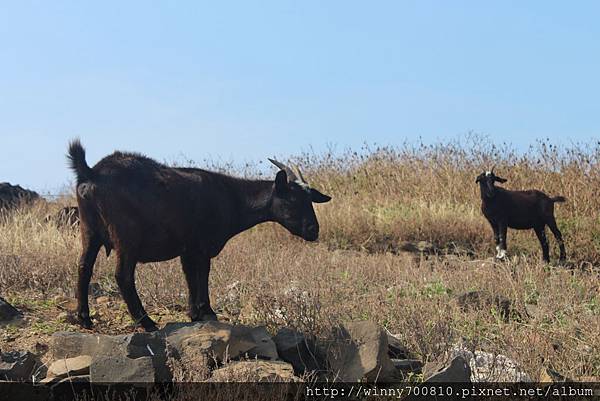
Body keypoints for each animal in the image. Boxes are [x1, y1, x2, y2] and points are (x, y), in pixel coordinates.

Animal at [67, 141, 330, 332]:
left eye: (310, 199)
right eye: (292, 199)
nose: (313, 230)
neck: (231, 198)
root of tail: (91, 173)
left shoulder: (188, 249)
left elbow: (190, 277)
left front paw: (194, 313)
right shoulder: (203, 245)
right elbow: (203, 275)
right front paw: (208, 312)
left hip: (89, 230)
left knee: (83, 267)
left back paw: (84, 319)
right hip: (126, 237)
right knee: (123, 276)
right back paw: (147, 322)